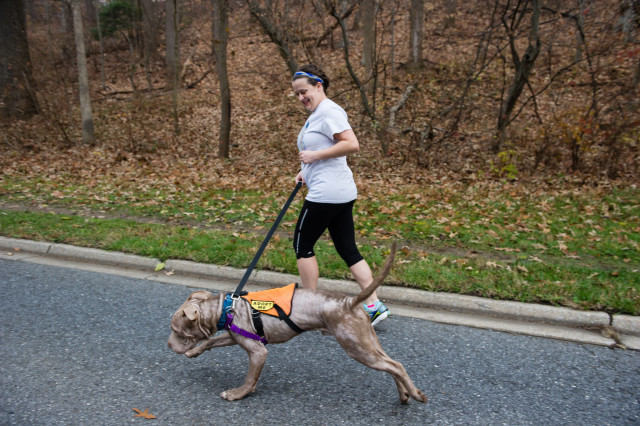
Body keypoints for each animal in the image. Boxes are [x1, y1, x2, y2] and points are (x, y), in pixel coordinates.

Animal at [168, 243, 428, 402]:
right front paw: (194, 353)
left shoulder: (258, 351)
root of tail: (350, 301)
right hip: (368, 343)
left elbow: (250, 378)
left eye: (176, 330)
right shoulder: (234, 336)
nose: (168, 346)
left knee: (396, 366)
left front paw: (238, 393)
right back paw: (405, 394)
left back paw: (416, 395)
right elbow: (209, 343)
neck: (226, 309)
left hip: (357, 347)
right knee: (393, 364)